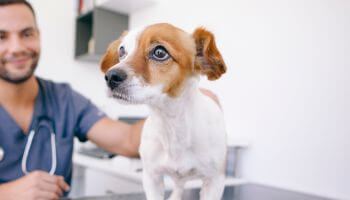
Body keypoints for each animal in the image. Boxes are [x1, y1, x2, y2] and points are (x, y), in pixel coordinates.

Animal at [100, 23, 227, 200]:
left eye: (159, 52)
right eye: (122, 52)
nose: (110, 76)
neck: (172, 124)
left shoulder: (214, 182)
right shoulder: (151, 177)